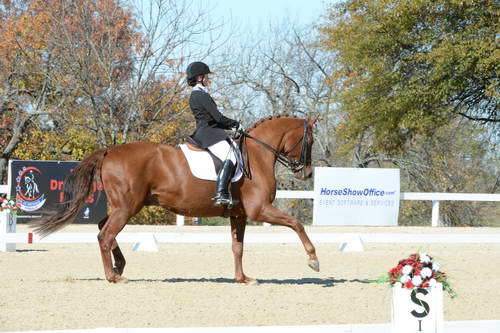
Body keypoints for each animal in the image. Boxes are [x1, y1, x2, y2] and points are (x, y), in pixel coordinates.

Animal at [32, 114, 320, 282]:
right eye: (310, 140)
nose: (306, 173)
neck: (258, 155)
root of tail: (110, 150)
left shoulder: (239, 214)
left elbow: (237, 247)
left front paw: (243, 278)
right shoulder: (260, 210)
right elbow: (297, 224)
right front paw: (313, 260)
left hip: (123, 205)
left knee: (104, 228)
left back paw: (119, 266)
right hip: (128, 206)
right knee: (105, 234)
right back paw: (113, 276)